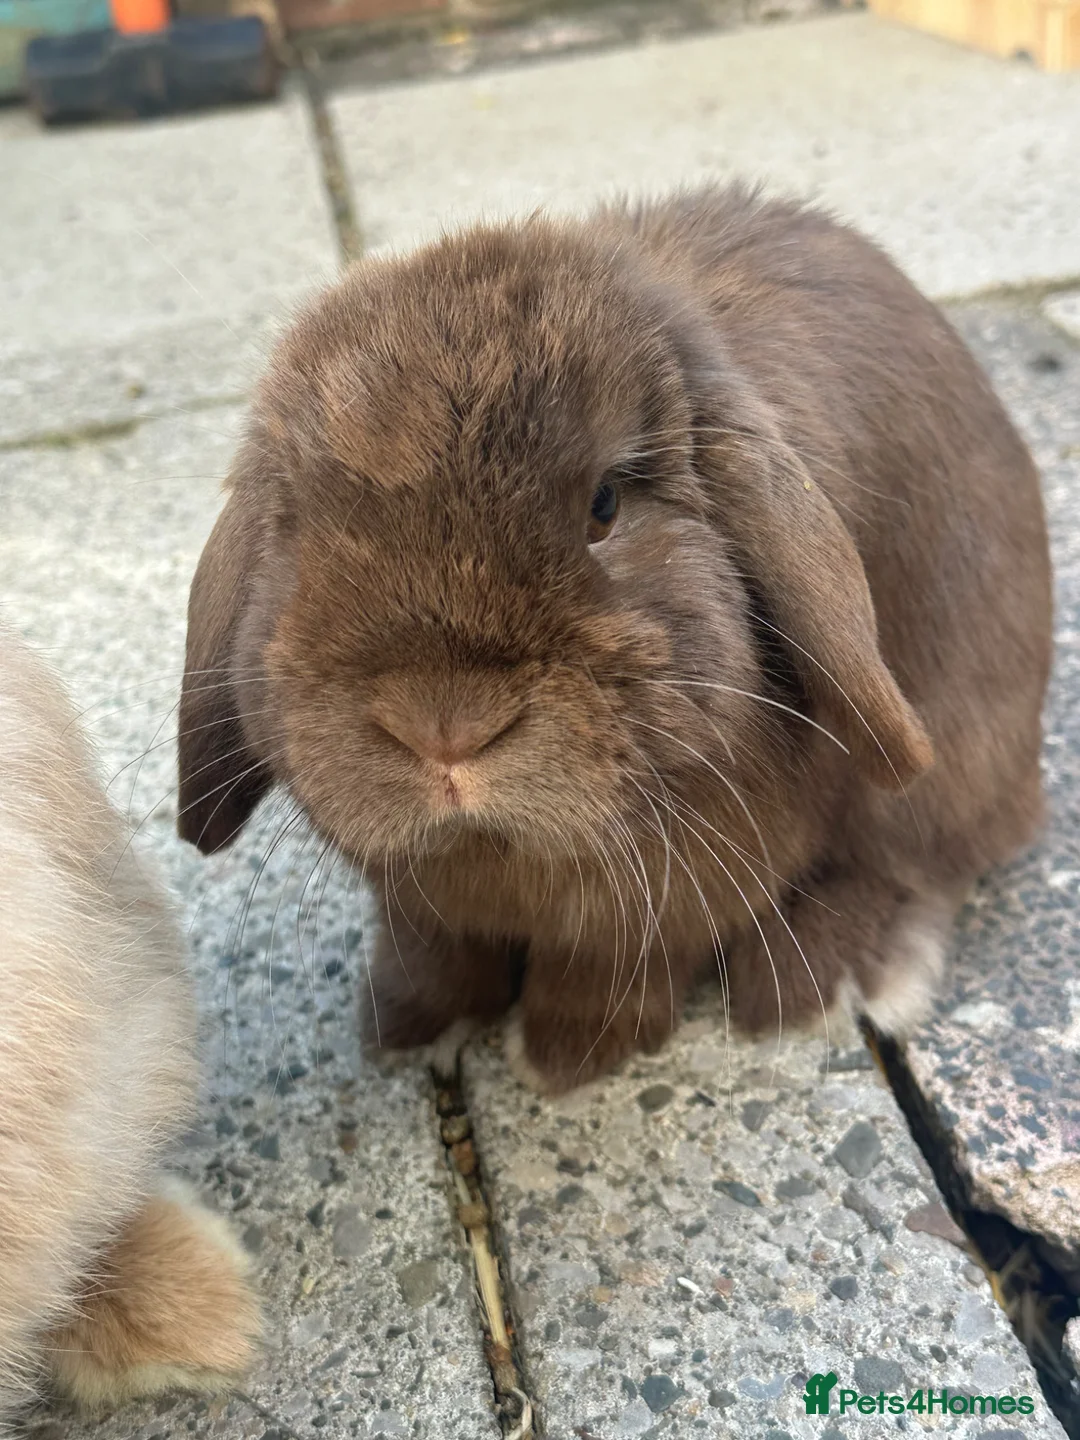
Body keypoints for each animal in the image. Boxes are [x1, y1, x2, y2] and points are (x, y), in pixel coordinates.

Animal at [175, 182, 1052, 1096]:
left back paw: (817, 982)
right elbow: (435, 950)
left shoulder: (674, 894)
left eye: (604, 506)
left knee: (919, 857)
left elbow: (610, 965)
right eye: (297, 525)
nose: (444, 728)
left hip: (944, 752)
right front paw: (413, 1029)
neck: (501, 850)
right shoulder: (419, 904)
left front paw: (563, 1057)